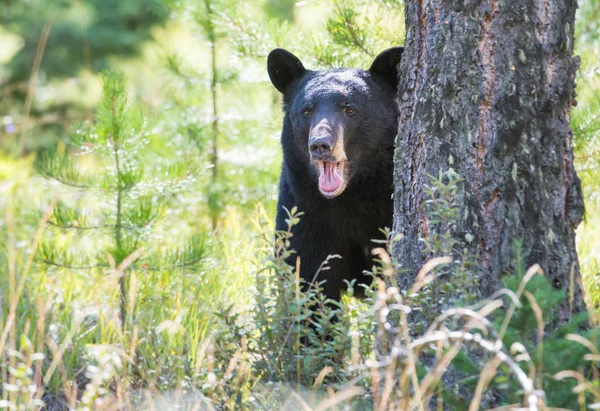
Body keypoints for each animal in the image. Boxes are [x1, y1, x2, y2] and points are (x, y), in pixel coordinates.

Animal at [268, 48, 404, 304]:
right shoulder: (306, 213)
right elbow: (307, 279)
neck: (350, 197)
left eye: (349, 109)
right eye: (306, 110)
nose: (320, 144)